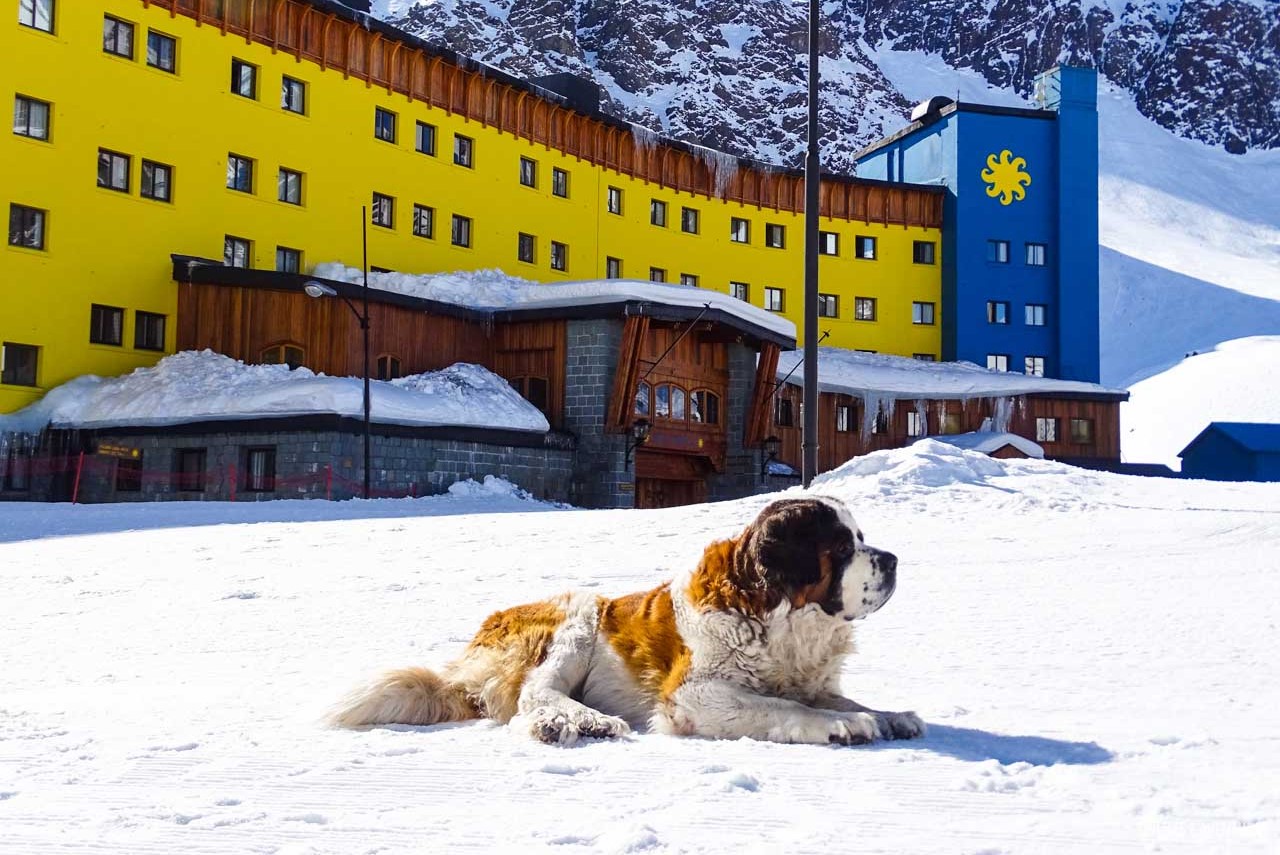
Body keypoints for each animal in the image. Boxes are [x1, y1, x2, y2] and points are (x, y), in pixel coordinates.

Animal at [330, 496, 926, 742]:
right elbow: (783, 706)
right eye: (843, 547)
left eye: (862, 538)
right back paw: (574, 720)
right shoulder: (694, 694)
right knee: (535, 693)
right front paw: (842, 726)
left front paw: (886, 714)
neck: (774, 615)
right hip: (578, 612)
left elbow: (830, 696)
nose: (895, 560)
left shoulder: (806, 677)